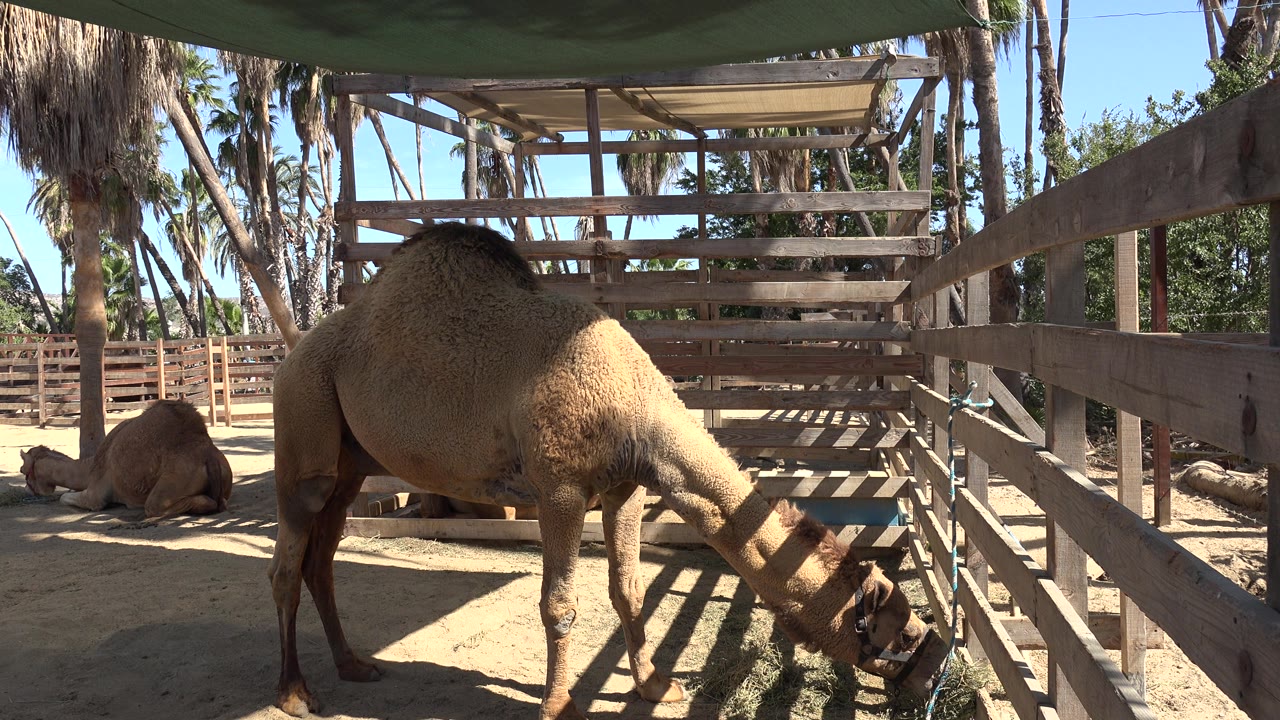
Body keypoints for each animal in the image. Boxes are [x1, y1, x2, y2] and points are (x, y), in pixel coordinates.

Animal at [21, 399, 233, 518]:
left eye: (24, 471)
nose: (29, 490)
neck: (90, 468)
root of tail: (208, 456)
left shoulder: (96, 494)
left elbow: (65, 497)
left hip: (176, 479)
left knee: (154, 506)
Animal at [269, 223, 946, 719]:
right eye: (905, 633)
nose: (936, 668)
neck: (628, 398)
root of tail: (293, 351)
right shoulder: (560, 489)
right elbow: (559, 603)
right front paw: (561, 704)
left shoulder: (624, 488)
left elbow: (630, 590)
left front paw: (654, 686)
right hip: (303, 425)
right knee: (287, 565)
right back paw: (296, 693)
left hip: (352, 463)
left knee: (322, 560)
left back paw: (355, 666)